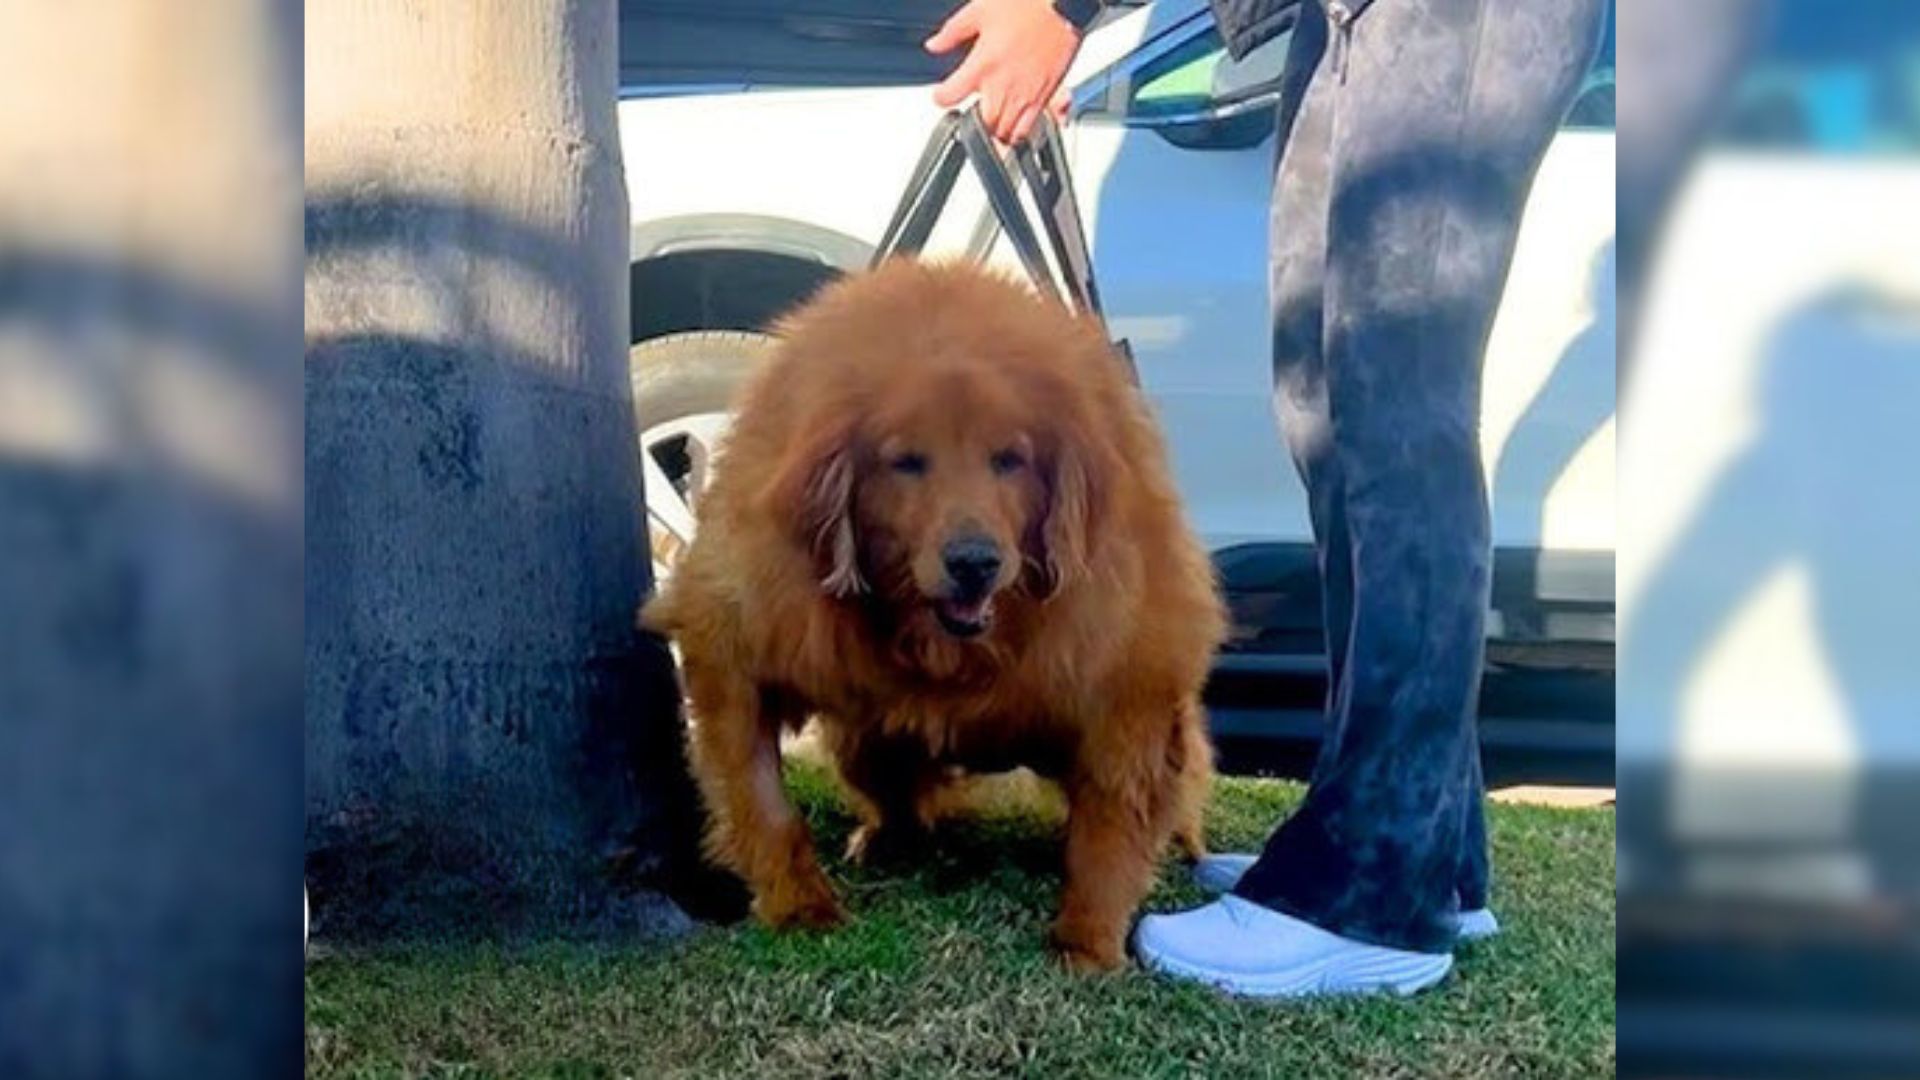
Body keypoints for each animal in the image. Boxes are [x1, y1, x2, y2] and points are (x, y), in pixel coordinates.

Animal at [637, 261, 1221, 968]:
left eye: (1010, 459)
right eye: (907, 462)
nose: (974, 562)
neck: (945, 647)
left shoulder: (1128, 680)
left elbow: (1111, 828)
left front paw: (1088, 940)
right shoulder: (742, 633)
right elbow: (766, 804)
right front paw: (800, 905)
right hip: (867, 737)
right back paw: (888, 839)